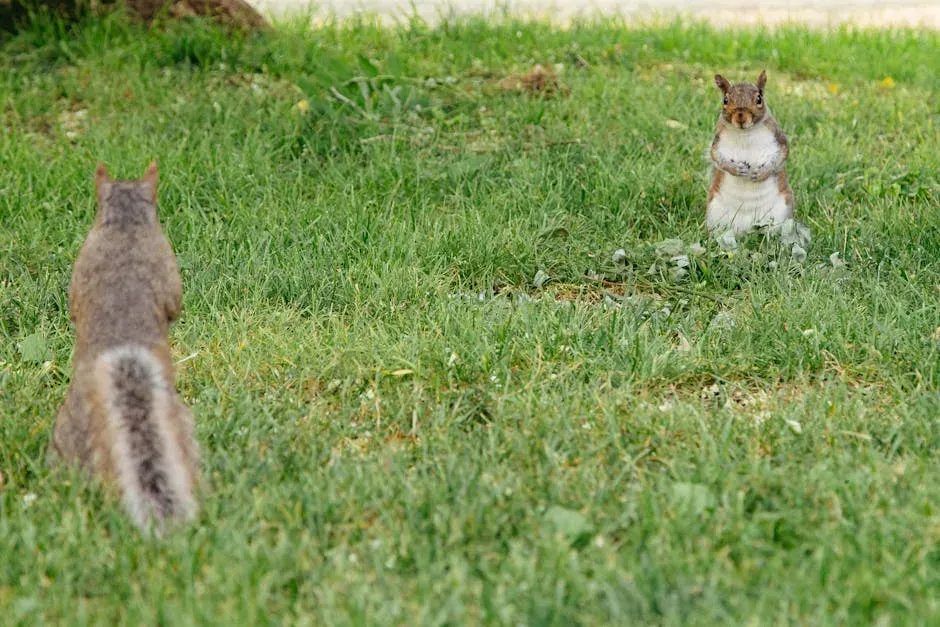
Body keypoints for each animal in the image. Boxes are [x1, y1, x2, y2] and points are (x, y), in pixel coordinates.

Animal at [706, 70, 794, 235]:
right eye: (725, 100)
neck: (744, 133)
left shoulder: (778, 137)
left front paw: (761, 174)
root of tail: (746, 229)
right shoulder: (718, 140)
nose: (741, 117)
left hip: (780, 213)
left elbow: (783, 154)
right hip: (714, 211)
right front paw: (736, 169)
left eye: (759, 99)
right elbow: (716, 156)